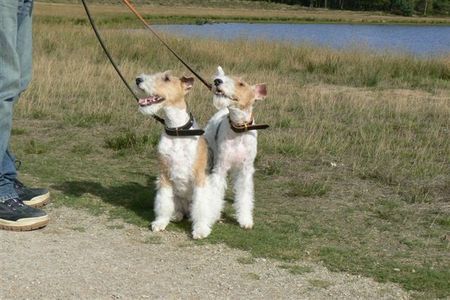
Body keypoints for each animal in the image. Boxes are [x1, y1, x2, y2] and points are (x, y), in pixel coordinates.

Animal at [135, 70, 216, 239]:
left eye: (166, 78)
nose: (138, 80)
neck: (177, 130)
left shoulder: (199, 176)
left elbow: (201, 206)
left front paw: (200, 230)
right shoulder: (164, 174)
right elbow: (163, 202)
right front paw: (160, 222)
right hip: (177, 199)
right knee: (178, 210)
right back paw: (175, 215)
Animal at [207, 66, 268, 230]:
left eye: (241, 84)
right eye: (226, 77)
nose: (217, 81)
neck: (239, 128)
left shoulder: (245, 170)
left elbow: (244, 195)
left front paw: (245, 220)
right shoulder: (220, 167)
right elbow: (215, 192)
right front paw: (213, 216)